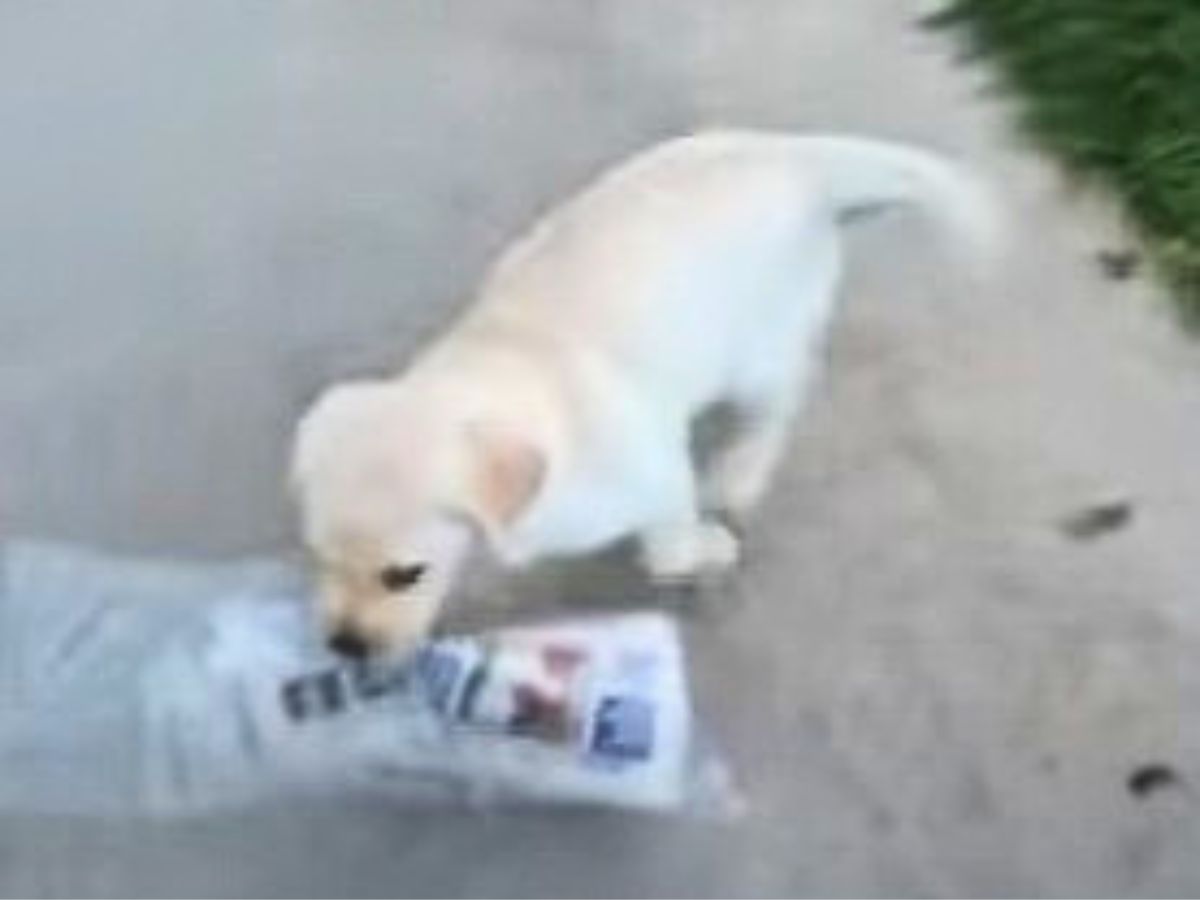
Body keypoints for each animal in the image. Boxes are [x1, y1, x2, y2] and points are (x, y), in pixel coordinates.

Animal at [290, 130, 993, 657]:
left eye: (404, 575)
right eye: (318, 557)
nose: (344, 647)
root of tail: (795, 156)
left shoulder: (658, 476)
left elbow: (669, 546)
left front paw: (706, 550)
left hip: (757, 352)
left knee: (782, 401)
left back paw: (741, 473)